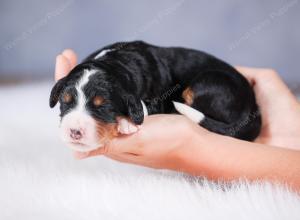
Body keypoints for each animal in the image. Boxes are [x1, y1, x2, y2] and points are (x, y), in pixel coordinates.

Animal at [48, 40, 260, 152]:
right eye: (65, 103)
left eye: (104, 107)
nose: (74, 131)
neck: (115, 61)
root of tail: (253, 106)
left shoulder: (157, 100)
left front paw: (125, 122)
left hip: (207, 83)